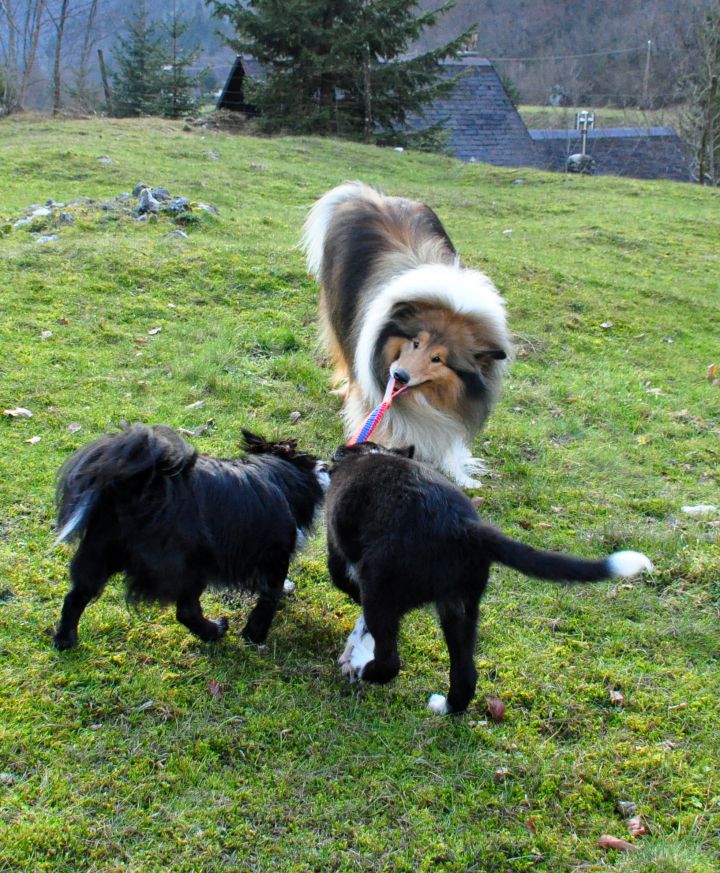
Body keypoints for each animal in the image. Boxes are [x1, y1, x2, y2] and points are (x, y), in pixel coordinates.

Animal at [53, 426, 330, 652]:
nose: (327, 465)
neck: (278, 474)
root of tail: (137, 489)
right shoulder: (276, 556)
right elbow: (268, 598)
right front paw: (255, 635)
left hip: (99, 552)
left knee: (75, 597)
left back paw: (65, 641)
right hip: (191, 567)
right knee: (186, 611)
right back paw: (215, 630)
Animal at [300, 181, 510, 488]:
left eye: (438, 359)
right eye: (415, 342)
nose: (399, 376)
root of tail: (369, 193)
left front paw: (460, 474)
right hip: (339, 309)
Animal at [326, 442, 652, 716]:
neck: (371, 453)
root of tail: (463, 527)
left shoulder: (345, 565)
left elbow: (357, 610)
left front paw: (354, 653)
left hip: (382, 590)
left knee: (390, 660)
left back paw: (363, 668)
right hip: (460, 607)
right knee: (466, 675)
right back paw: (445, 706)